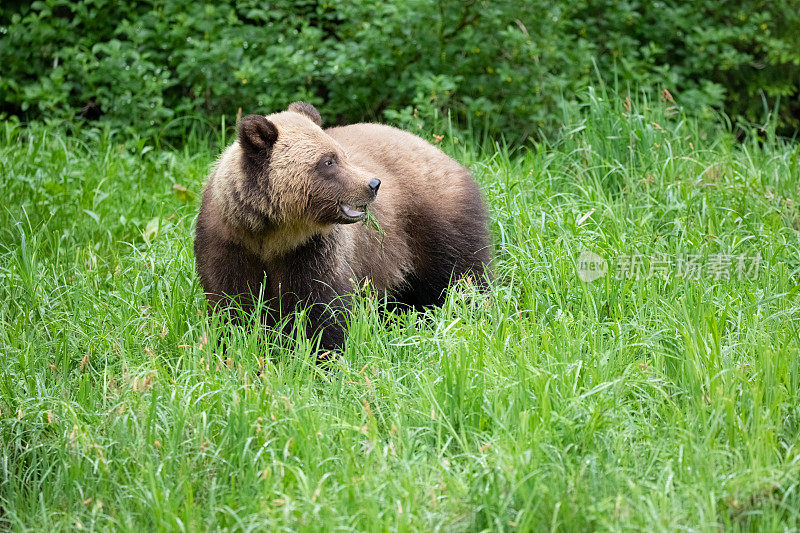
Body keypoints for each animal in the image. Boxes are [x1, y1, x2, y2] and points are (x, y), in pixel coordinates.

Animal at [197, 100, 490, 352]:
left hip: (435, 219)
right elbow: (233, 303)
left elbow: (321, 305)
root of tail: (435, 149)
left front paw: (322, 355)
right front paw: (233, 344)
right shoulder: (228, 242)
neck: (273, 233)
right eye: (328, 161)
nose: (373, 184)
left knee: (460, 274)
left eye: (342, 155)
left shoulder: (311, 249)